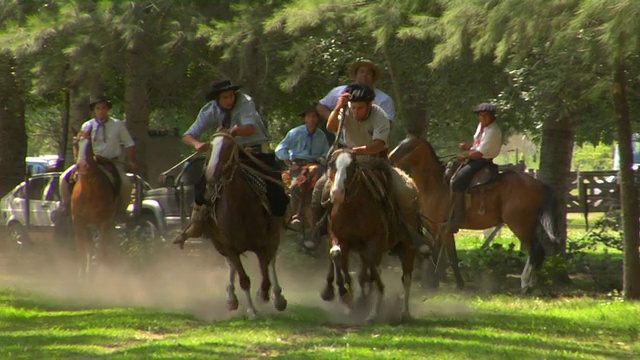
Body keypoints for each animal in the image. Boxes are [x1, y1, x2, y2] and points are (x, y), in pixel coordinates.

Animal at [72, 131, 120, 280]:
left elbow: (100, 252)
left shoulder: (103, 223)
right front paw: (82, 277)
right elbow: (82, 252)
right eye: (75, 143)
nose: (82, 165)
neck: (89, 190)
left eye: (89, 145)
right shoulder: (78, 223)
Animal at [205, 131, 288, 320]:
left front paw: (263, 296)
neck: (239, 208)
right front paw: (251, 310)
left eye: (229, 146)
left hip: (274, 235)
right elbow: (244, 279)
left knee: (271, 262)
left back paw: (278, 298)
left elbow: (265, 275)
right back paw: (231, 298)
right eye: (211, 146)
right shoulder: (230, 247)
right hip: (219, 244)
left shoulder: (263, 244)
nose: (211, 174)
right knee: (231, 266)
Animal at [318, 148, 416, 322]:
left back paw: (404, 312)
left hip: (406, 246)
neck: (353, 209)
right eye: (332, 164)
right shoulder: (339, 238)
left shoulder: (374, 244)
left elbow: (375, 276)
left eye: (352, 167)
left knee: (406, 278)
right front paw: (344, 294)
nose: (336, 193)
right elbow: (336, 255)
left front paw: (373, 313)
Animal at [384, 136, 560, 292]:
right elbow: (437, 254)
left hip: (519, 225)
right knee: (539, 252)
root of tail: (538, 184)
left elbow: (451, 257)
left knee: (535, 250)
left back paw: (525, 284)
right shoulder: (435, 229)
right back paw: (532, 283)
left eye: (408, 147)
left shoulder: (444, 229)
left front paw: (457, 284)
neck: (435, 183)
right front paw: (434, 283)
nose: (388, 158)